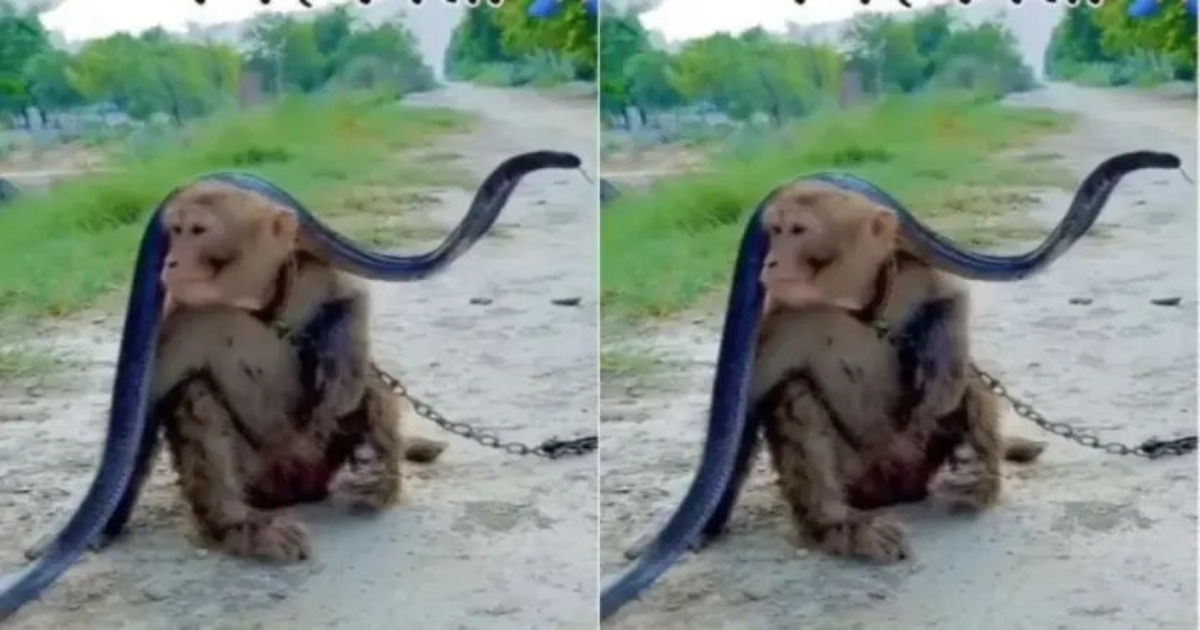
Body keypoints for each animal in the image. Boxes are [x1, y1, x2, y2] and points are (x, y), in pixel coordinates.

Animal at [740, 181, 1045, 563]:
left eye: (797, 230)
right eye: (776, 231)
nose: (771, 261)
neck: (855, 305)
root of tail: (899, 491)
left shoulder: (909, 273)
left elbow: (951, 298)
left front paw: (939, 387)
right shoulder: (778, 318)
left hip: (920, 453)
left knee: (968, 377)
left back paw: (980, 477)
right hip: (859, 477)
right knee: (794, 392)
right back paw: (836, 525)